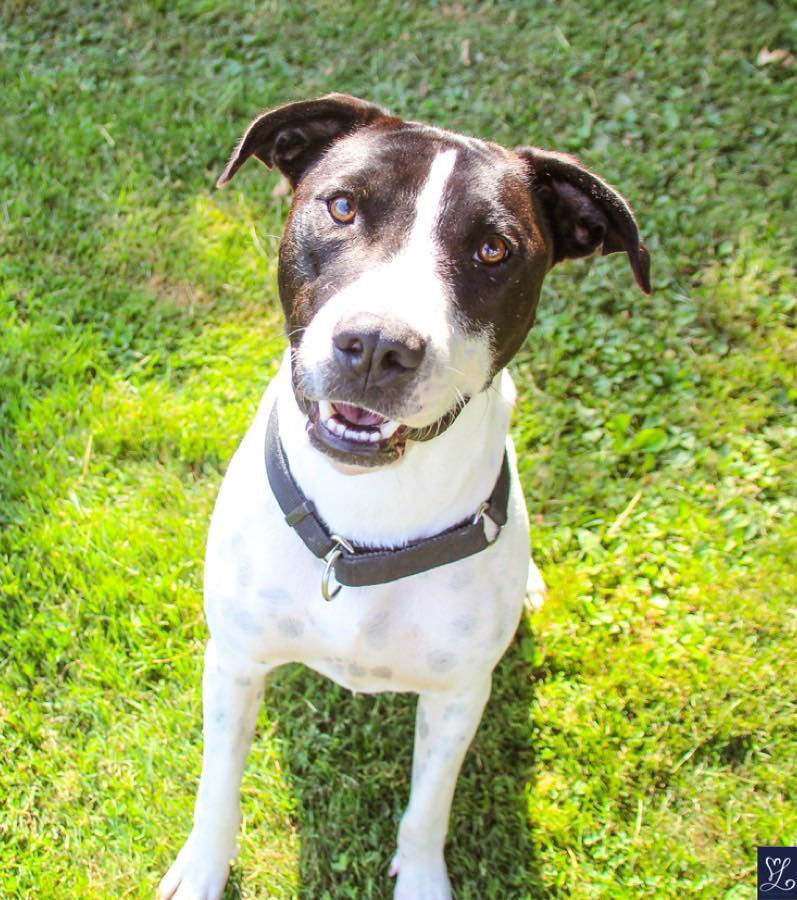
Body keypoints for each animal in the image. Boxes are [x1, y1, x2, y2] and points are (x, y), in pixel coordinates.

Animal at [157, 95, 648, 896]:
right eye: (342, 206)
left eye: (493, 251)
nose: (378, 345)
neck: (363, 525)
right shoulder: (234, 662)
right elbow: (218, 786)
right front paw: (201, 869)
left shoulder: (458, 699)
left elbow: (426, 811)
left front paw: (421, 880)